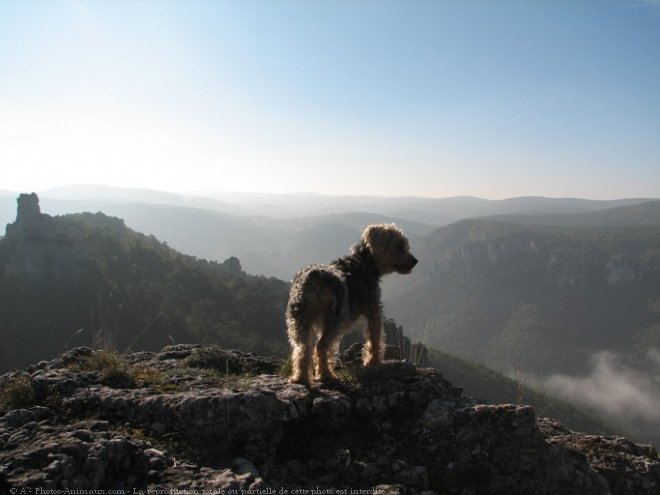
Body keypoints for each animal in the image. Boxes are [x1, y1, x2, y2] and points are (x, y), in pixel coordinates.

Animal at [284, 225, 418, 388]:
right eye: (399, 246)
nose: (415, 261)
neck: (364, 261)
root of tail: (314, 277)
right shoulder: (374, 310)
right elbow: (375, 339)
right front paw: (373, 361)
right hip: (334, 319)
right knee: (320, 347)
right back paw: (326, 375)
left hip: (298, 319)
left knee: (303, 348)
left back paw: (301, 378)